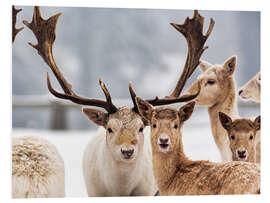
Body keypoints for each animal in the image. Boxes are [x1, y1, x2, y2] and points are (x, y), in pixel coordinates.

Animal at [23, 7, 213, 196]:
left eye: (141, 128)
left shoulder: (146, 191)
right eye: (110, 128)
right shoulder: (94, 192)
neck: (120, 190)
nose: (127, 151)